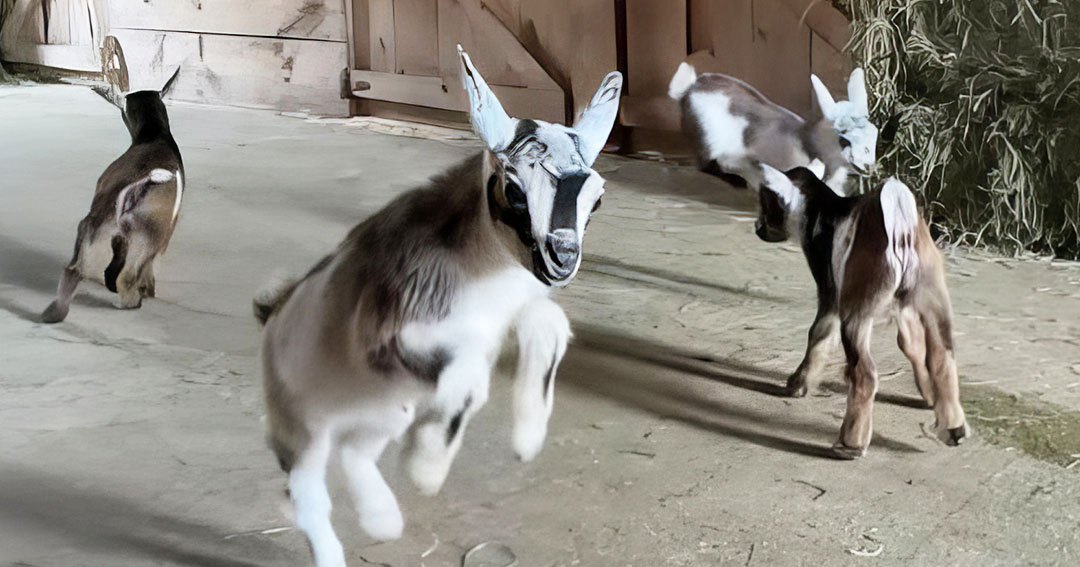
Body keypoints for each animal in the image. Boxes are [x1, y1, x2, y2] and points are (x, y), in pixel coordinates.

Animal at [42, 75, 184, 323]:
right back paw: (131, 302)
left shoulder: (118, 237)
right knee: (127, 278)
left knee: (73, 271)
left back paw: (55, 312)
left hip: (90, 226)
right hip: (148, 236)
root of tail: (133, 188)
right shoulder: (160, 237)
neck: (155, 134)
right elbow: (147, 269)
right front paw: (148, 290)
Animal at [253, 46, 621, 566]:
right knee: (305, 494)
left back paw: (381, 519)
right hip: (303, 421)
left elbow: (548, 324)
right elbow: (467, 379)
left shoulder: (508, 310)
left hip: (383, 408)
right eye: (513, 188)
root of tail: (272, 315)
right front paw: (426, 467)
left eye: (597, 197)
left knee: (356, 450)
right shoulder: (390, 333)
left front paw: (527, 440)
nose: (562, 257)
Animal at [668, 63, 877, 194]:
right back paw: (738, 181)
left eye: (874, 135)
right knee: (708, 166)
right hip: (709, 140)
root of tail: (689, 86)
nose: (869, 166)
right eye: (844, 139)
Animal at [755, 161, 969, 459]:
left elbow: (819, 333)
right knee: (943, 356)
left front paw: (798, 384)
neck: (822, 208)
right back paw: (954, 428)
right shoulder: (904, 308)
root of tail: (900, 226)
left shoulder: (830, 291)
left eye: (766, 200)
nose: (758, 228)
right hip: (932, 295)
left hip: (858, 307)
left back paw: (850, 444)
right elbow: (911, 343)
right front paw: (928, 394)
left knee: (865, 372)